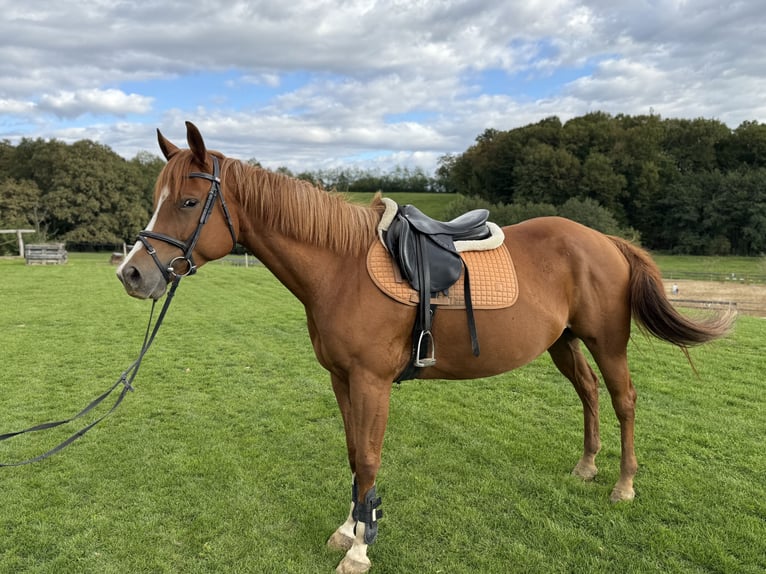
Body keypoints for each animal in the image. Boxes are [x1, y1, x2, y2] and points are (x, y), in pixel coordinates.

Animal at [116, 122, 733, 574]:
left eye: (189, 201)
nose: (133, 274)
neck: (340, 266)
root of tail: (605, 240)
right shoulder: (342, 379)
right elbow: (352, 455)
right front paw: (350, 528)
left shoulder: (371, 382)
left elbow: (368, 457)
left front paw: (361, 549)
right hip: (563, 343)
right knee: (588, 393)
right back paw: (586, 467)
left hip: (607, 342)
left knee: (624, 399)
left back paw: (623, 486)